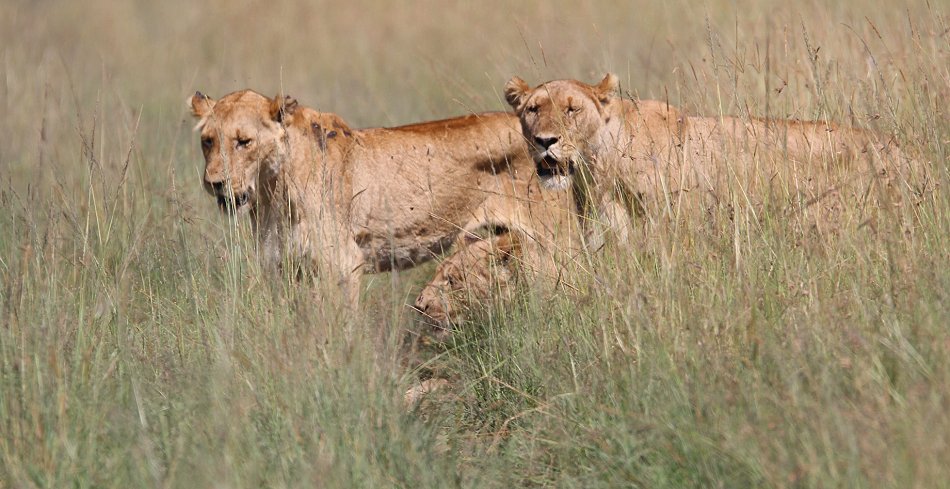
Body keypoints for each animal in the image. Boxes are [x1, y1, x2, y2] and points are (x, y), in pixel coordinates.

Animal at [185, 89, 572, 306]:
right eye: (207, 141)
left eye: (243, 142)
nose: (214, 183)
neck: (271, 192)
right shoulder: (282, 268)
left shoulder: (341, 264)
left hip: (555, 246)